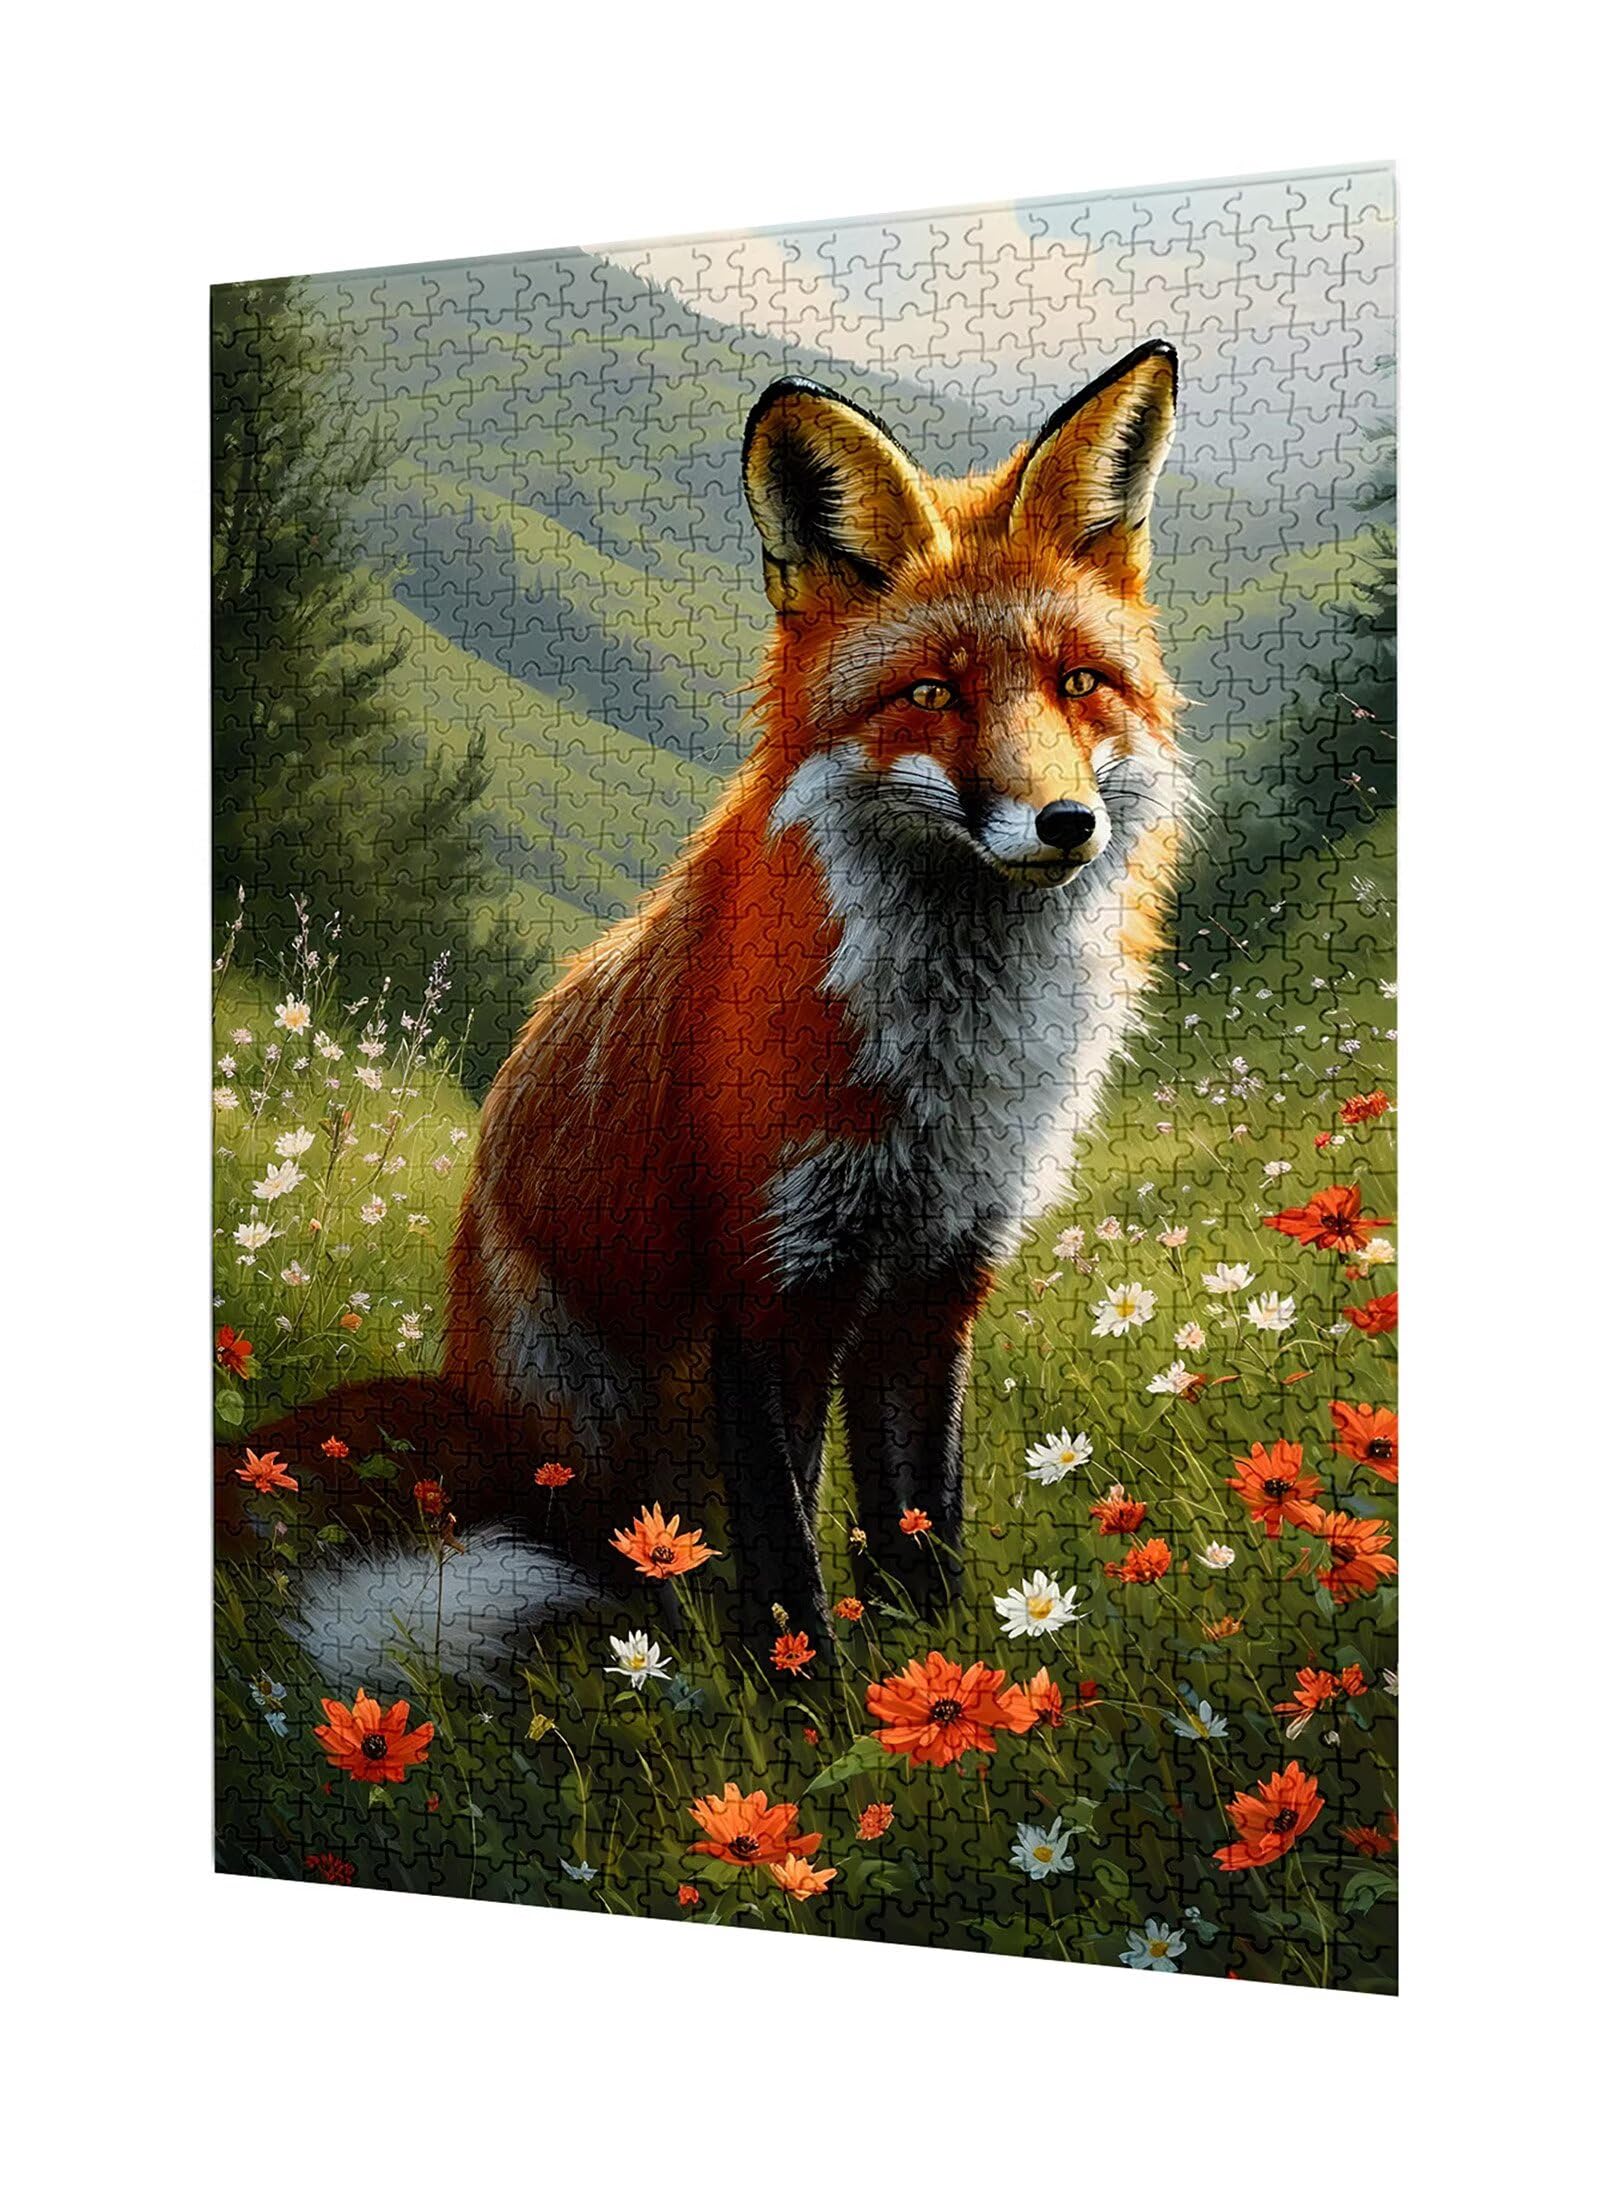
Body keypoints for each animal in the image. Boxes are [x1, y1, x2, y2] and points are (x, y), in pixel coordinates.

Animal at [230, 340, 1186, 1682]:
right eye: (933, 694)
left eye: (1080, 683)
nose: (1065, 824)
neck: (941, 1067)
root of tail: (467, 1396)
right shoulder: (767, 1280)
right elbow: (786, 1567)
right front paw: (809, 1712)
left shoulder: (935, 1285)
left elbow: (921, 1532)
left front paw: (950, 1699)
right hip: (605, 1445)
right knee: (622, 1568)